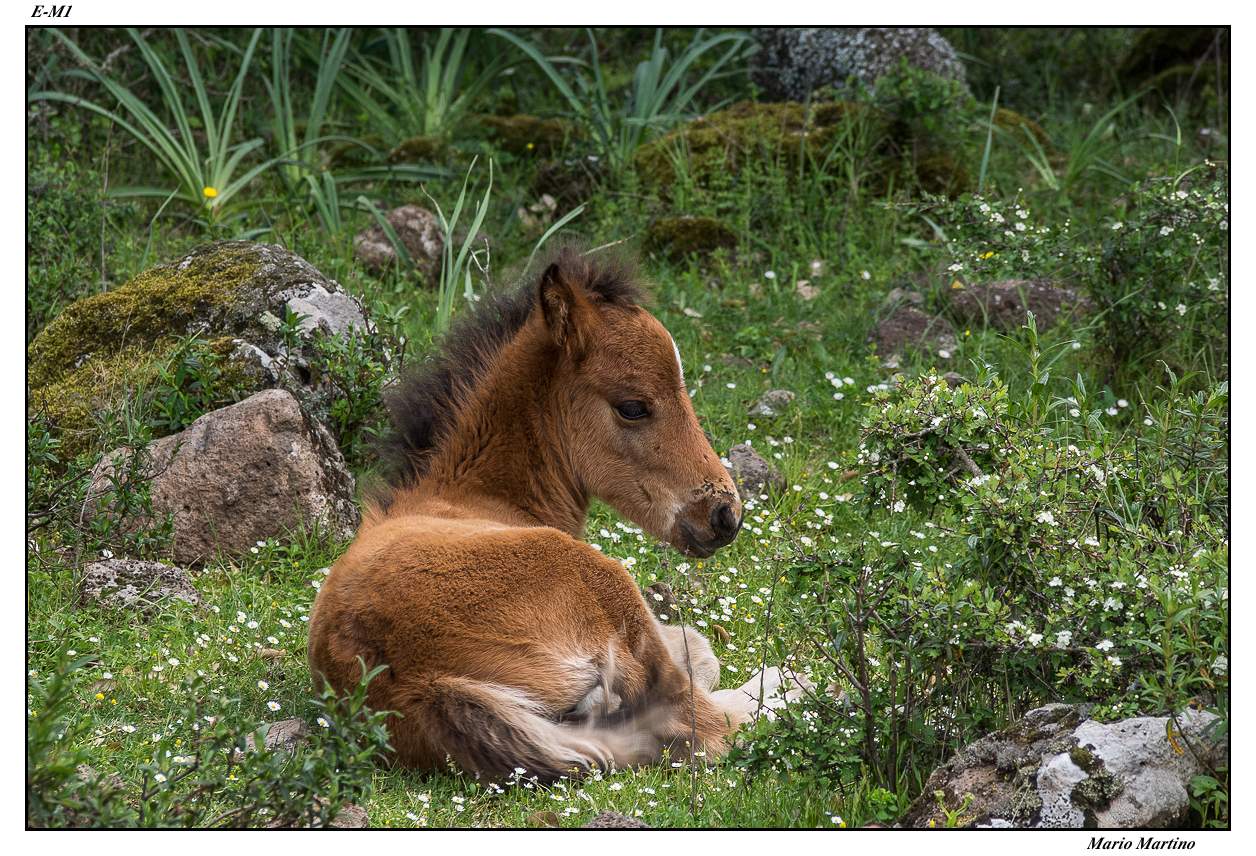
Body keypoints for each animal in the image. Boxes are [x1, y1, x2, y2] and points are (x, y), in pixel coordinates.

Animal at [307, 246, 805, 781]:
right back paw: (795, 686)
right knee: (702, 724)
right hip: (608, 584)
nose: (724, 515)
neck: (477, 496)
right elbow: (700, 651)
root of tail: (416, 686)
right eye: (633, 407)